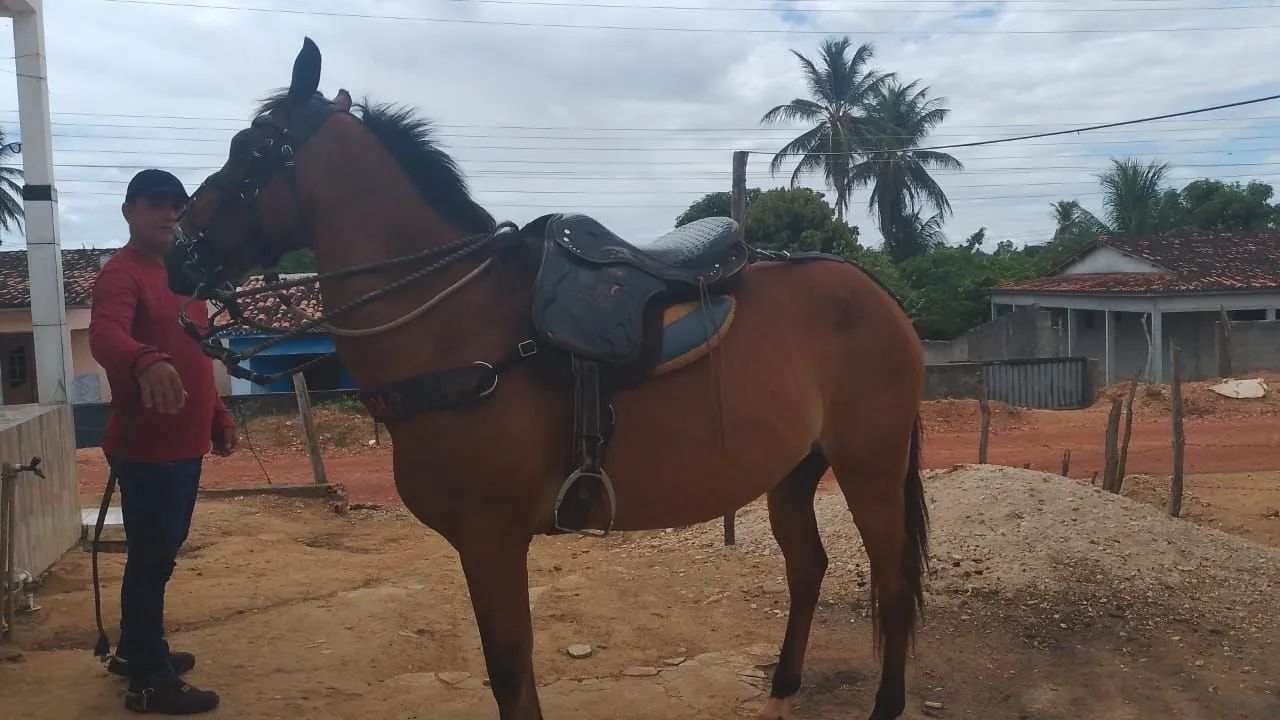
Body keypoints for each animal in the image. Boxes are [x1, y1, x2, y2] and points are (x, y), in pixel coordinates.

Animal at [165, 38, 930, 720]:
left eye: (251, 151)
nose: (178, 255)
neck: (452, 320)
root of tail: (879, 295)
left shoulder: (490, 537)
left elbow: (510, 670)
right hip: (794, 471)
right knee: (808, 568)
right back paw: (784, 683)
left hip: (869, 465)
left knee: (893, 581)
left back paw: (887, 705)